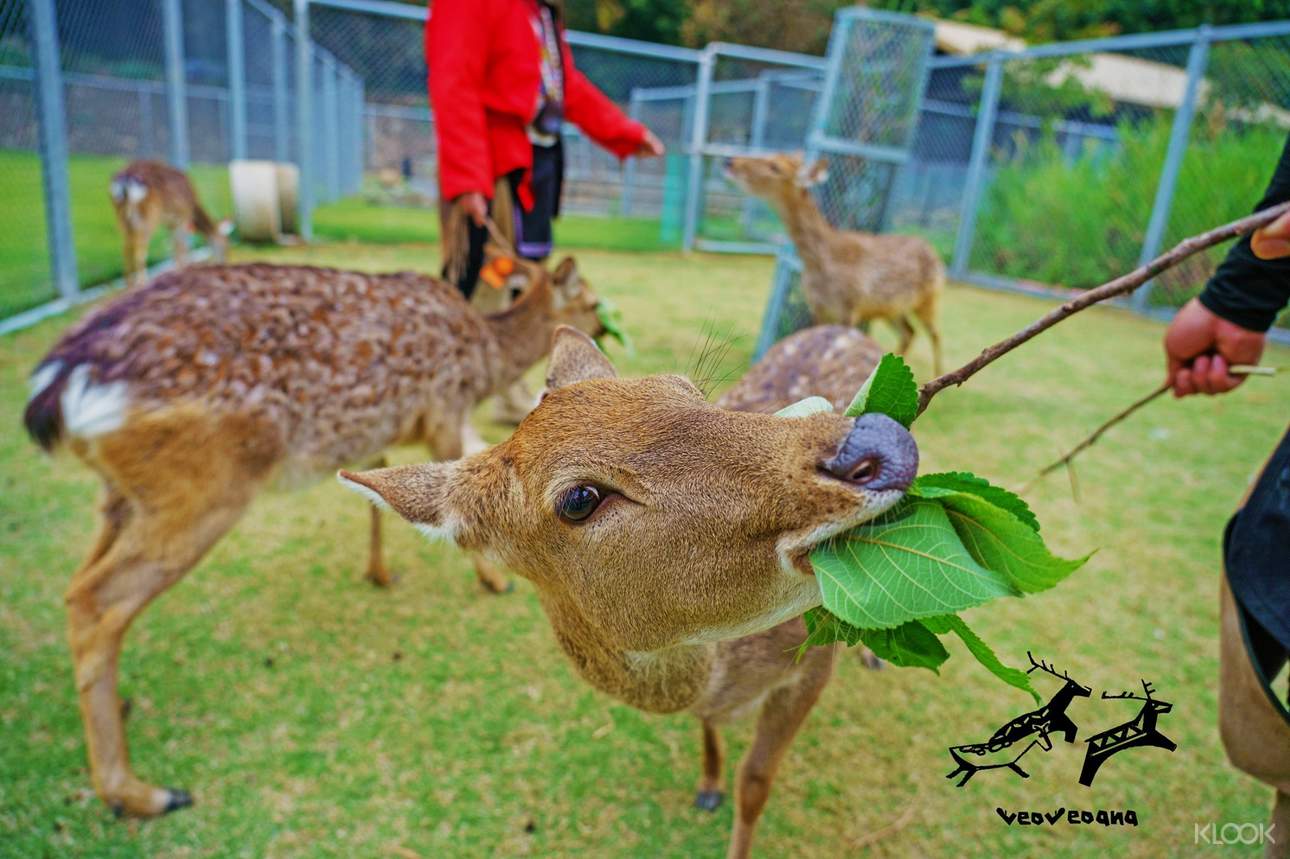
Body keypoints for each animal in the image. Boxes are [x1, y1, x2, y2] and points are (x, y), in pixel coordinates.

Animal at [22, 255, 604, 818]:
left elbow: (376, 486)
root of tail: (58, 387)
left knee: (79, 584)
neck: (483, 357)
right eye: (592, 299)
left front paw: (378, 572)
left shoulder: (380, 432)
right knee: (95, 598)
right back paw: (137, 793)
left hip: (122, 493)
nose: (602, 328)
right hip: (203, 485)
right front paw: (493, 581)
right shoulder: (443, 408)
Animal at [110, 160, 232, 289]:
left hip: (120, 213)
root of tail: (125, 179)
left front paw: (177, 269)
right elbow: (182, 245)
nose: (224, 263)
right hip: (149, 214)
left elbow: (174, 245)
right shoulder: (184, 215)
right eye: (226, 245)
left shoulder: (171, 223)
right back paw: (142, 282)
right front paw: (185, 268)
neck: (194, 207)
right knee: (139, 248)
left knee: (126, 247)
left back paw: (129, 284)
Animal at [340, 323, 917, 859]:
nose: (879, 441)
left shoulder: (813, 663)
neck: (726, 681)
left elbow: (755, 783)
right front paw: (708, 786)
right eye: (579, 498)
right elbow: (713, 738)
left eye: (689, 389)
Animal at [725, 152, 945, 374]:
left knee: (935, 334)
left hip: (929, 298)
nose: (731, 161)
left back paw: (937, 374)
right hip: (892, 308)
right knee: (909, 332)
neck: (821, 261)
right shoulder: (818, 306)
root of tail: (935, 254)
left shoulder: (850, 307)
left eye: (775, 166)